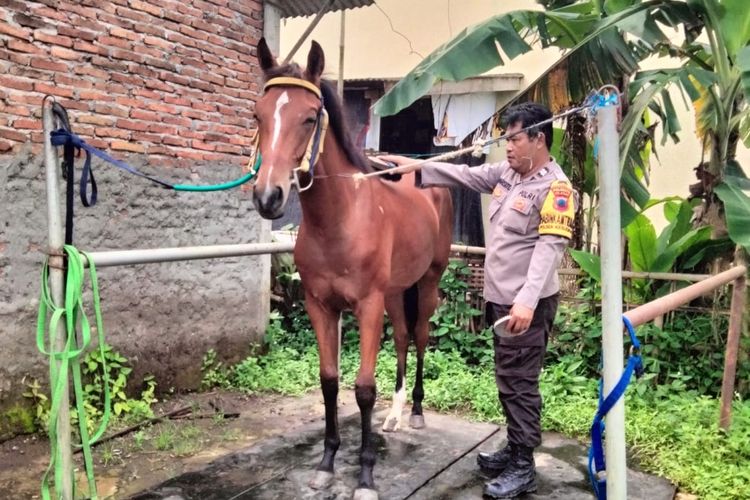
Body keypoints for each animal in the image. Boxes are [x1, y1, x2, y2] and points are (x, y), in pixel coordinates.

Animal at [251, 40, 452, 500]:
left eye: (309, 117)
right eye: (258, 114)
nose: (269, 197)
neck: (340, 220)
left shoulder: (367, 306)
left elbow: (362, 389)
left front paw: (365, 477)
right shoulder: (320, 305)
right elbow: (329, 380)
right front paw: (326, 464)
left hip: (428, 281)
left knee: (420, 336)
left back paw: (415, 411)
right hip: (396, 291)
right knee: (402, 338)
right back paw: (394, 416)